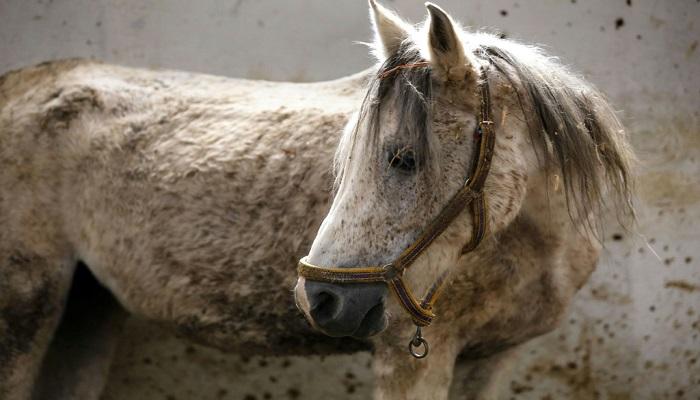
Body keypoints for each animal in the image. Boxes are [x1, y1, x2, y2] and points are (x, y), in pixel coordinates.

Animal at [0, 1, 636, 398]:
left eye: (402, 157)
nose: (321, 299)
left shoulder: (494, 361)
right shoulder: (411, 360)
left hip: (87, 308)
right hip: (25, 308)